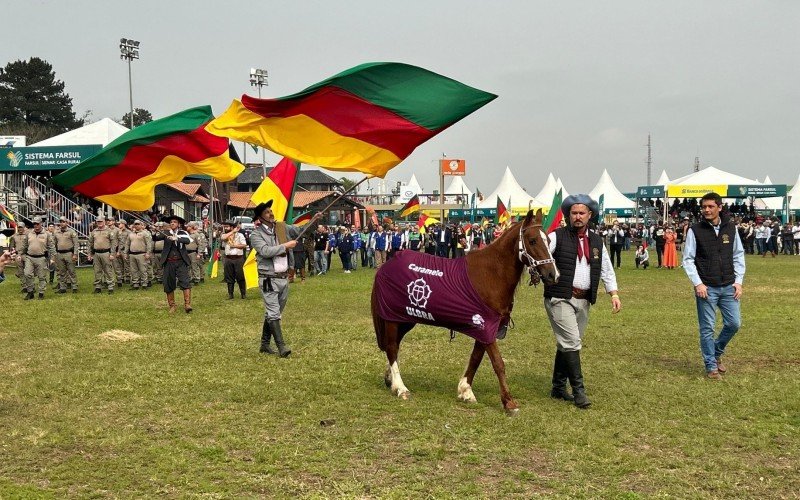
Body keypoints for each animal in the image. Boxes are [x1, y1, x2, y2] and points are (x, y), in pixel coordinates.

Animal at [372, 208, 560, 414]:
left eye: (548, 240)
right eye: (532, 240)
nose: (553, 274)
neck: (492, 274)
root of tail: (386, 266)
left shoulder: (485, 327)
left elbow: (476, 358)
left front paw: (465, 391)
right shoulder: (486, 326)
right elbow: (498, 363)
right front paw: (509, 402)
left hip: (405, 319)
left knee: (394, 346)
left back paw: (390, 379)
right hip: (392, 318)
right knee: (391, 347)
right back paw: (401, 388)